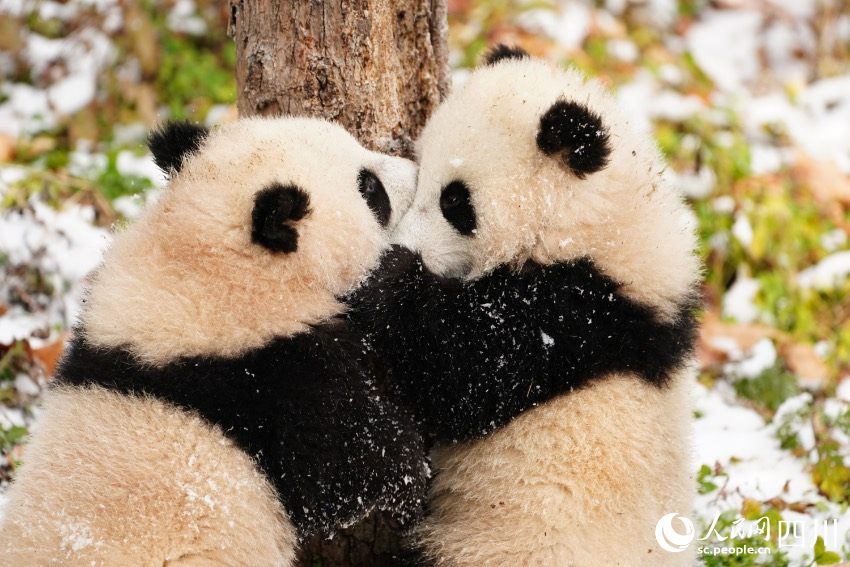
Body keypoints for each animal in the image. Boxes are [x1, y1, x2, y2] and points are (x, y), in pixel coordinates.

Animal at [0, 117, 430, 566]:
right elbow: (348, 465)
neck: (203, 264)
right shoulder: (272, 380)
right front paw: (412, 487)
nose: (415, 170)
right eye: (369, 188)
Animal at [346, 46, 702, 566]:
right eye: (420, 166)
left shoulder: (573, 316)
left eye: (456, 202)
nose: (404, 242)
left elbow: (466, 370)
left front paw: (386, 273)